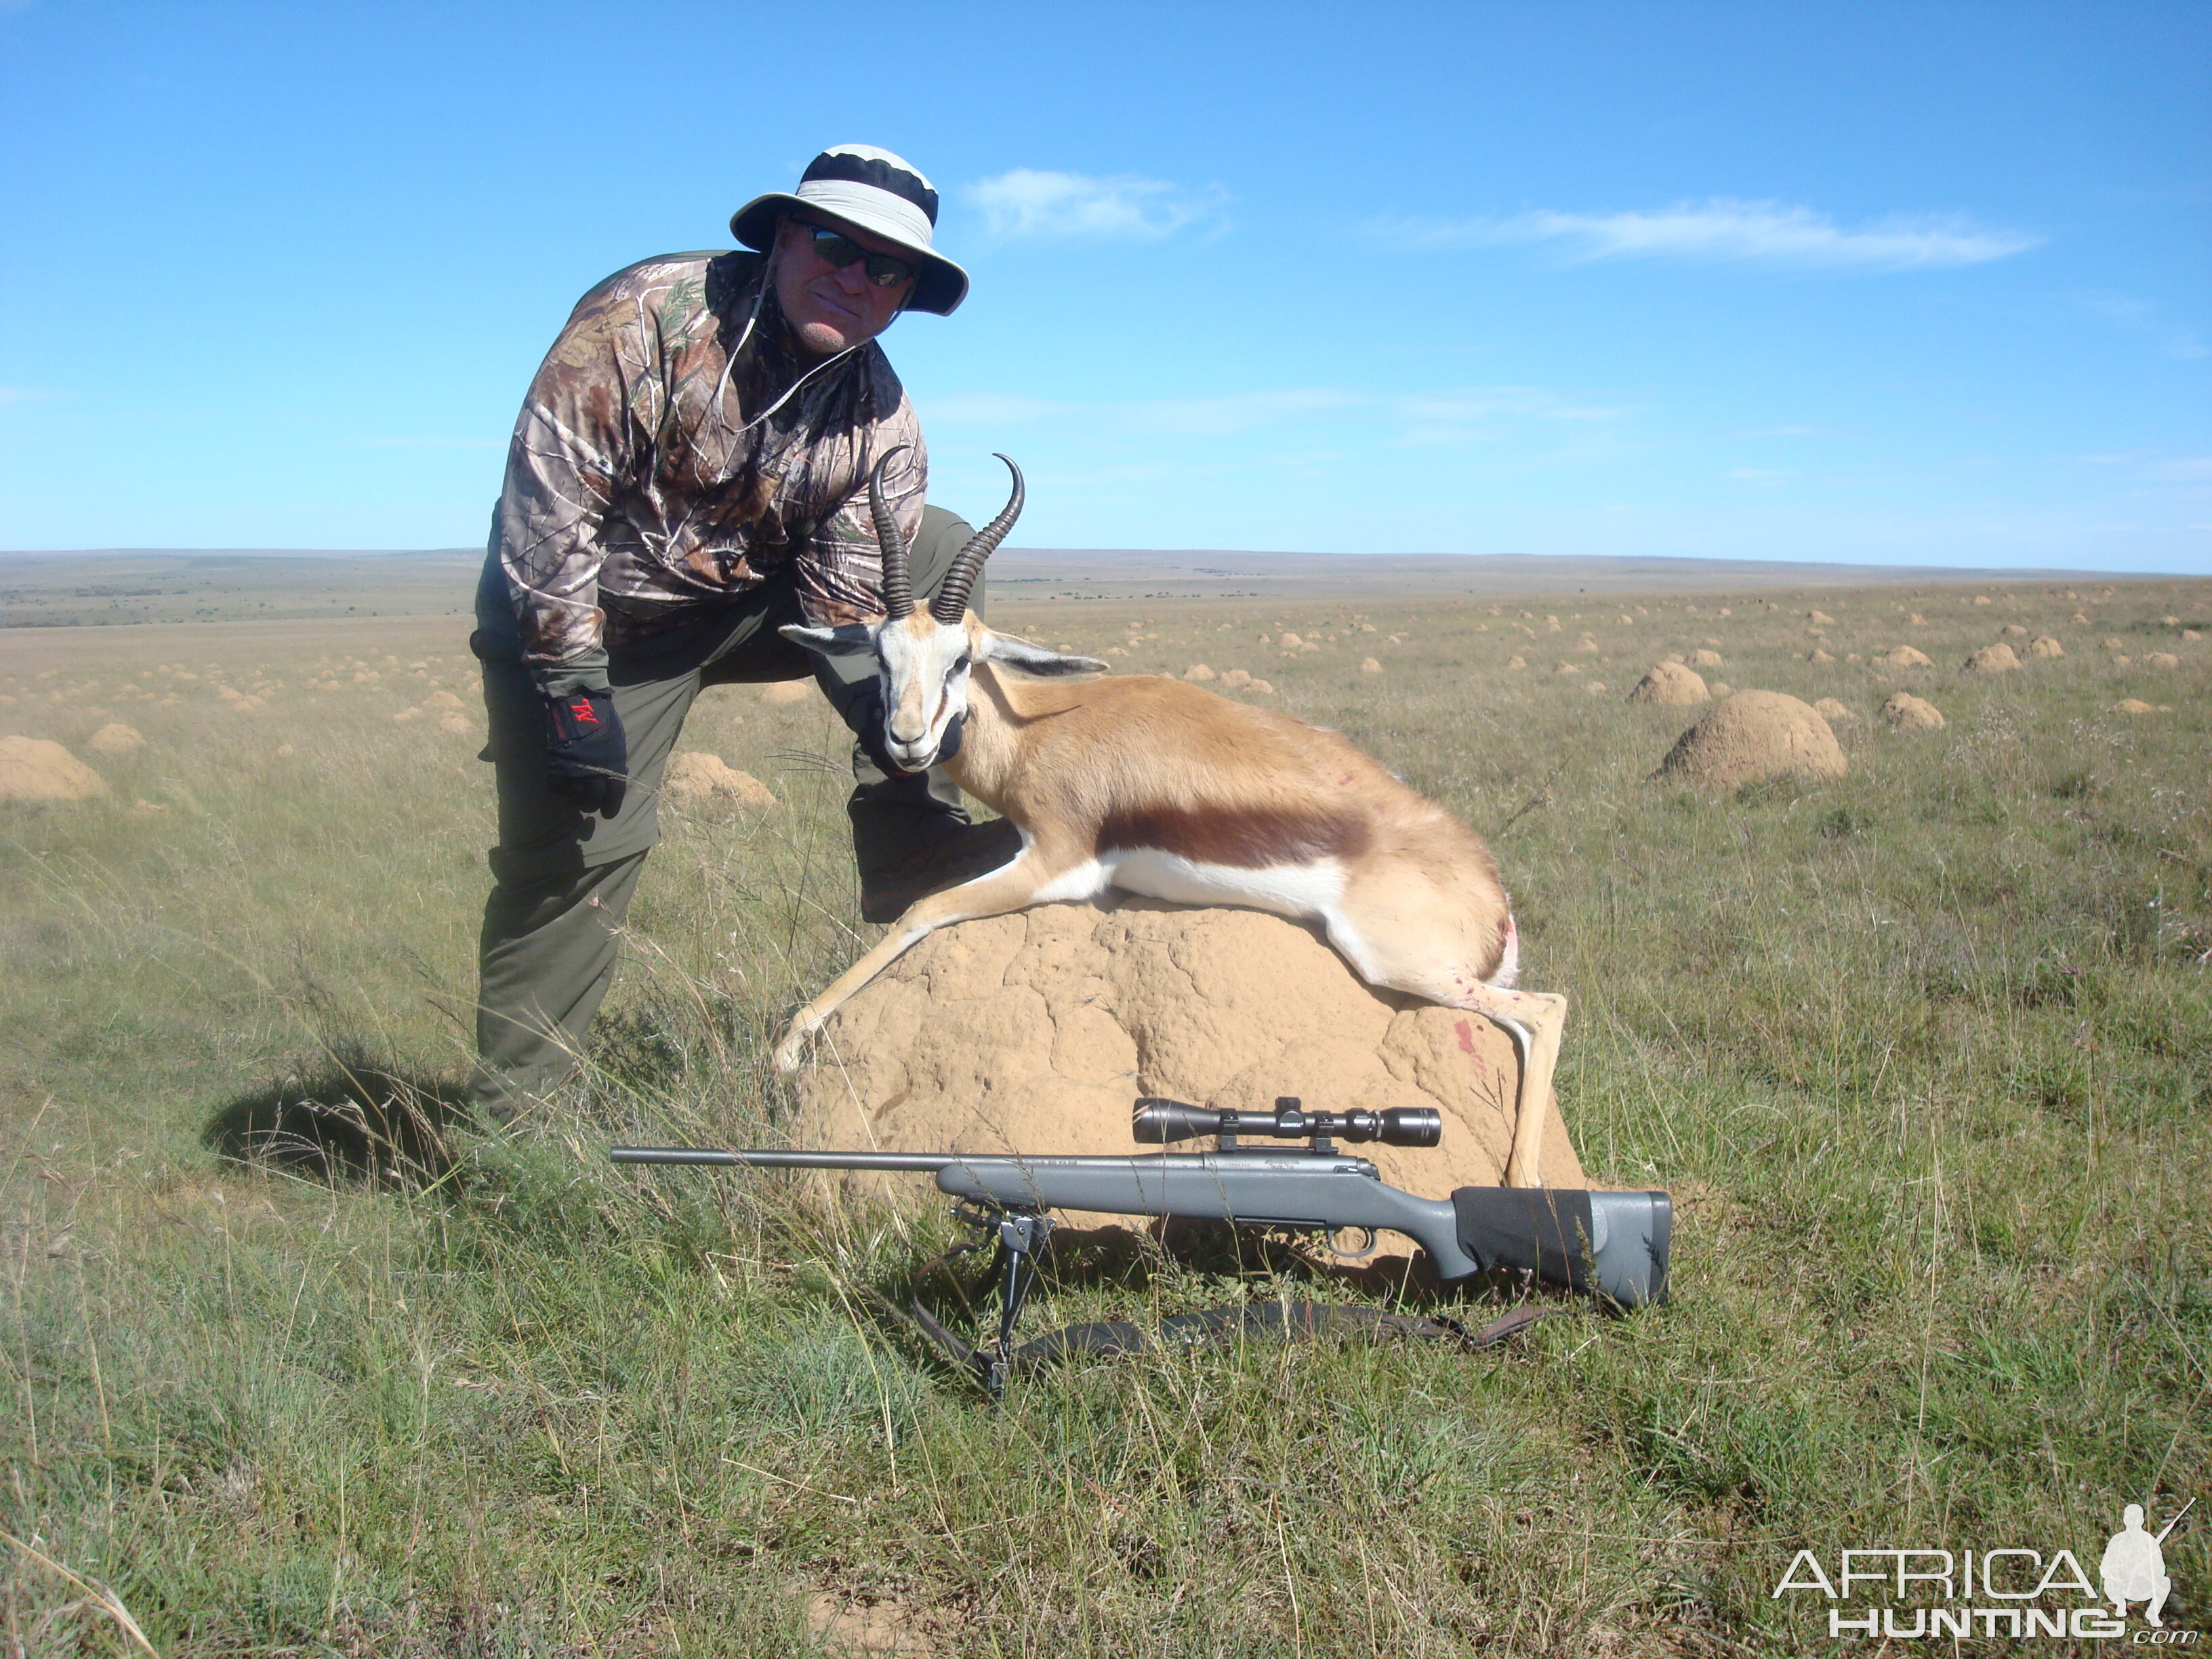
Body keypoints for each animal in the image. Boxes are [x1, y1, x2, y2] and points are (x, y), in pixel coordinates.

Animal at [787, 449, 1565, 1185]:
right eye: (881, 657)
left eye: (959, 660)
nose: (907, 740)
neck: (1041, 727)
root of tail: (1492, 897)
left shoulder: (1058, 865)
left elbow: (921, 911)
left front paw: (790, 1045)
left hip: (1396, 961)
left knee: (1547, 1009)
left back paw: (1524, 1179)